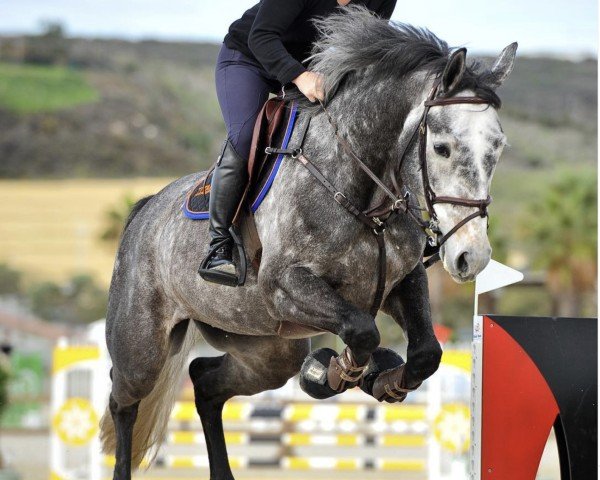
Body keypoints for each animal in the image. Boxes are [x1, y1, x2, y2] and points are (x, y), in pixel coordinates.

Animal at [98, 5, 516, 478]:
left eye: (498, 148)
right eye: (442, 148)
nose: (472, 257)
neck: (361, 194)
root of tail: (145, 209)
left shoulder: (401, 281)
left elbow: (427, 351)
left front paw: (381, 379)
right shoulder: (286, 287)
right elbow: (362, 330)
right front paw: (336, 373)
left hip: (267, 349)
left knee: (205, 382)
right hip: (143, 347)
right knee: (123, 401)